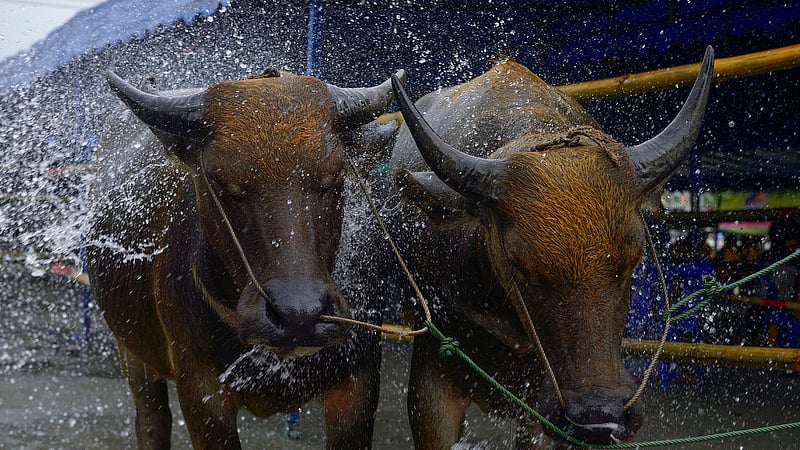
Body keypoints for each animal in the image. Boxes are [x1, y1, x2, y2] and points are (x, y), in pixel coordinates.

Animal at [86, 67, 405, 449]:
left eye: (334, 175)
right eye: (220, 182)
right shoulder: (201, 392)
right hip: (132, 352)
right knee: (152, 420)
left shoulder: (359, 382)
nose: (299, 315)